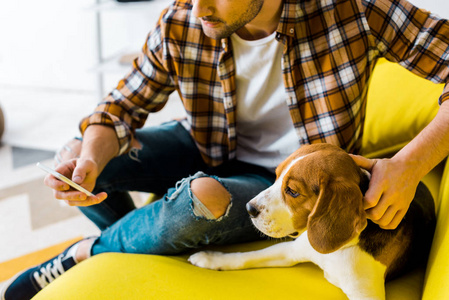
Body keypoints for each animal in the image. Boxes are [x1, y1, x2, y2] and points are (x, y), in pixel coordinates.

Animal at [188, 144, 434, 298]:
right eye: (276, 176)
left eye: (292, 191)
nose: (249, 208)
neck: (337, 250)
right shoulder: (291, 250)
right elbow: (247, 256)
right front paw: (211, 258)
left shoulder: (365, 292)